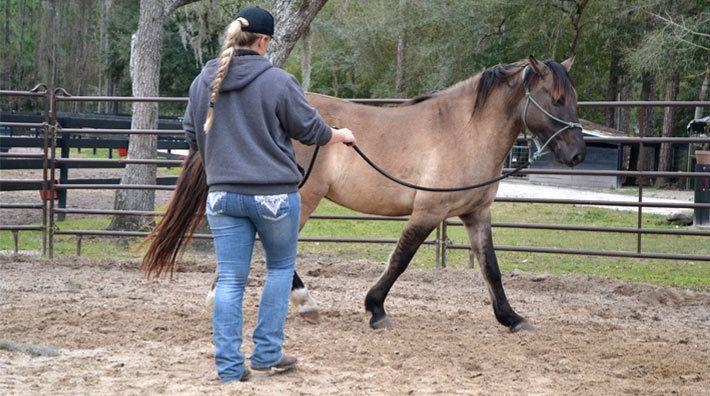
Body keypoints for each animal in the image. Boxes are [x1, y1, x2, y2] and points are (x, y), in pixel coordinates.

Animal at [142, 55, 588, 332]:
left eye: (573, 99)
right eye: (555, 99)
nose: (578, 153)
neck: (463, 131)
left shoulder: (476, 215)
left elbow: (491, 269)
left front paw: (512, 318)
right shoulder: (427, 213)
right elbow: (399, 261)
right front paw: (376, 310)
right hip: (298, 199)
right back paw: (295, 303)